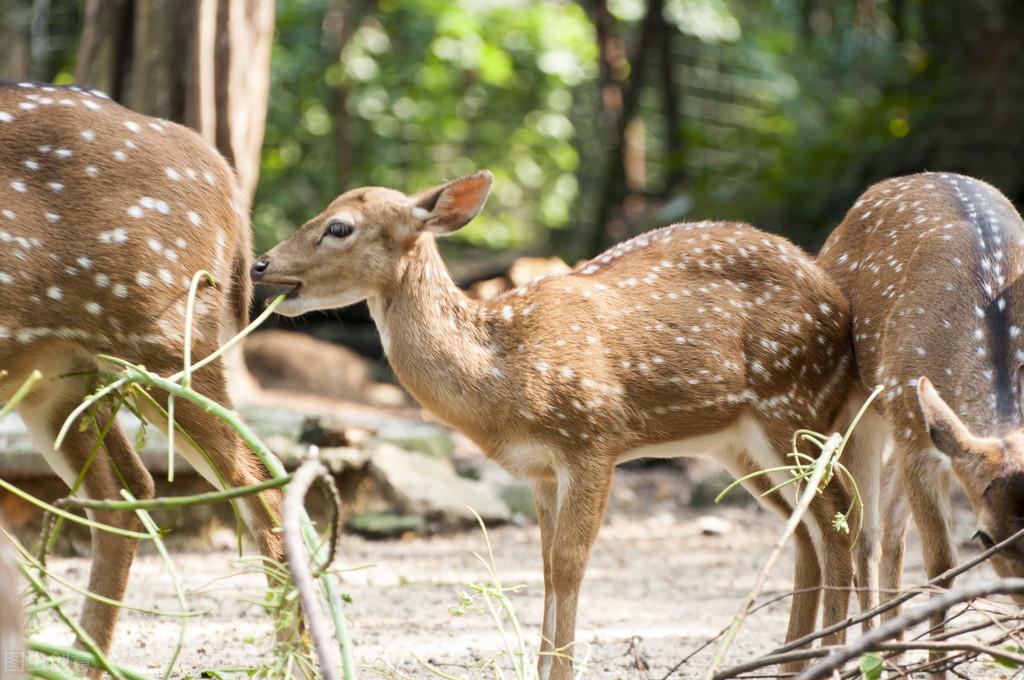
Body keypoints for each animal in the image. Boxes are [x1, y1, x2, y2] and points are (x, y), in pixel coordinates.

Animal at [251, 170, 868, 680]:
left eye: (339, 226)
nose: (261, 263)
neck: (502, 370)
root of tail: (838, 302)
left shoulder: (593, 437)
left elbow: (570, 565)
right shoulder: (541, 470)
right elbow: (546, 568)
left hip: (792, 404)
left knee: (840, 516)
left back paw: (833, 658)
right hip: (738, 443)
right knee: (808, 528)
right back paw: (793, 662)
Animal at [819, 170, 1024, 639]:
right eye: (984, 537)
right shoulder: (916, 433)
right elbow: (942, 568)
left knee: (891, 526)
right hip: (871, 405)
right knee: (866, 535)